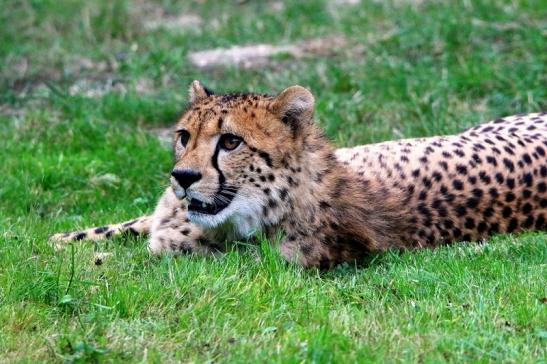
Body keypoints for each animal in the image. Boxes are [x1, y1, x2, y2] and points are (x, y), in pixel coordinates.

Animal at [51, 82, 547, 268]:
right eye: (184, 136)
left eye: (230, 142)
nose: (183, 176)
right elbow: (126, 225)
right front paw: (63, 239)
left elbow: (144, 256)